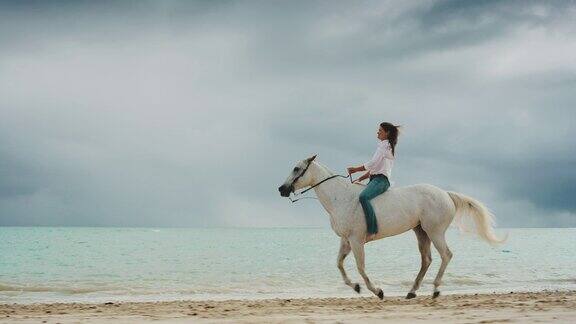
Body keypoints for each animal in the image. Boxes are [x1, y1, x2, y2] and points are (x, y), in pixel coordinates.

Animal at [280, 156, 504, 300]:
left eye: (297, 169)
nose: (281, 189)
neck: (340, 198)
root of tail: (446, 194)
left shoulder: (356, 241)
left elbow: (360, 267)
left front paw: (377, 291)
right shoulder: (346, 240)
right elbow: (339, 264)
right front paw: (356, 287)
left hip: (435, 232)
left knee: (446, 255)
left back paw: (435, 290)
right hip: (421, 232)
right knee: (427, 260)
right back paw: (412, 291)